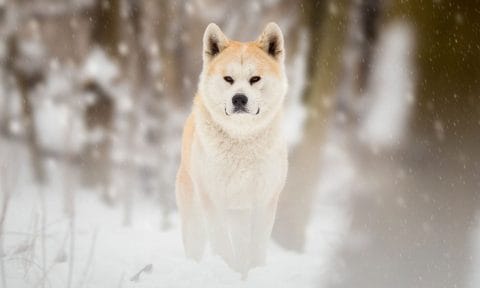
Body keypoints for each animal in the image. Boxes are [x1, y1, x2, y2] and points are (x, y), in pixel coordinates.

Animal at [176, 23, 288, 276]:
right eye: (228, 79)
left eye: (255, 79)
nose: (239, 99)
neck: (241, 140)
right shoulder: (212, 199)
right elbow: (221, 243)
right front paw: (227, 270)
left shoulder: (265, 200)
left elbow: (257, 247)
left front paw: (253, 273)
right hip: (196, 217)